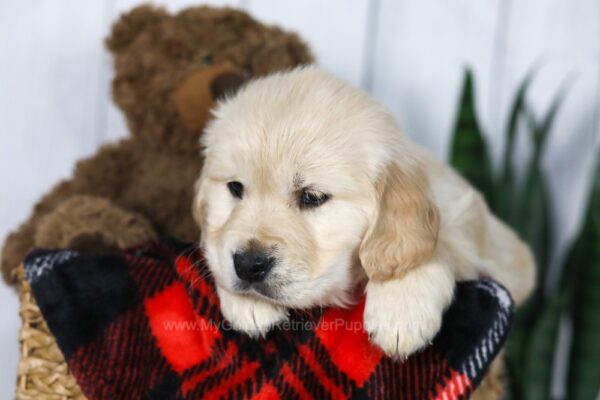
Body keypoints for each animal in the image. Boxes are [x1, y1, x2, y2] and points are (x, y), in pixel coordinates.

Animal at [192, 66, 536, 360]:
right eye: (235, 188)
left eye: (312, 197)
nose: (248, 264)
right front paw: (246, 302)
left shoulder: (473, 224)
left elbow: (436, 245)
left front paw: (401, 308)